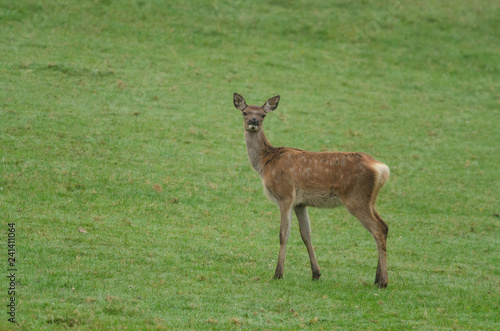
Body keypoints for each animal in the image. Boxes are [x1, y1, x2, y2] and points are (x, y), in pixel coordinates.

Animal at [232, 92, 392, 288]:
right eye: (245, 112)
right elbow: (306, 235)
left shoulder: (285, 195)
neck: (266, 163)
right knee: (384, 226)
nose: (253, 121)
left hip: (356, 198)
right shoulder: (300, 203)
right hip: (370, 200)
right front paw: (316, 273)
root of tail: (382, 169)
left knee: (378, 229)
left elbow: (283, 233)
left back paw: (383, 281)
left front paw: (278, 273)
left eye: (263, 114)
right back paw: (377, 278)